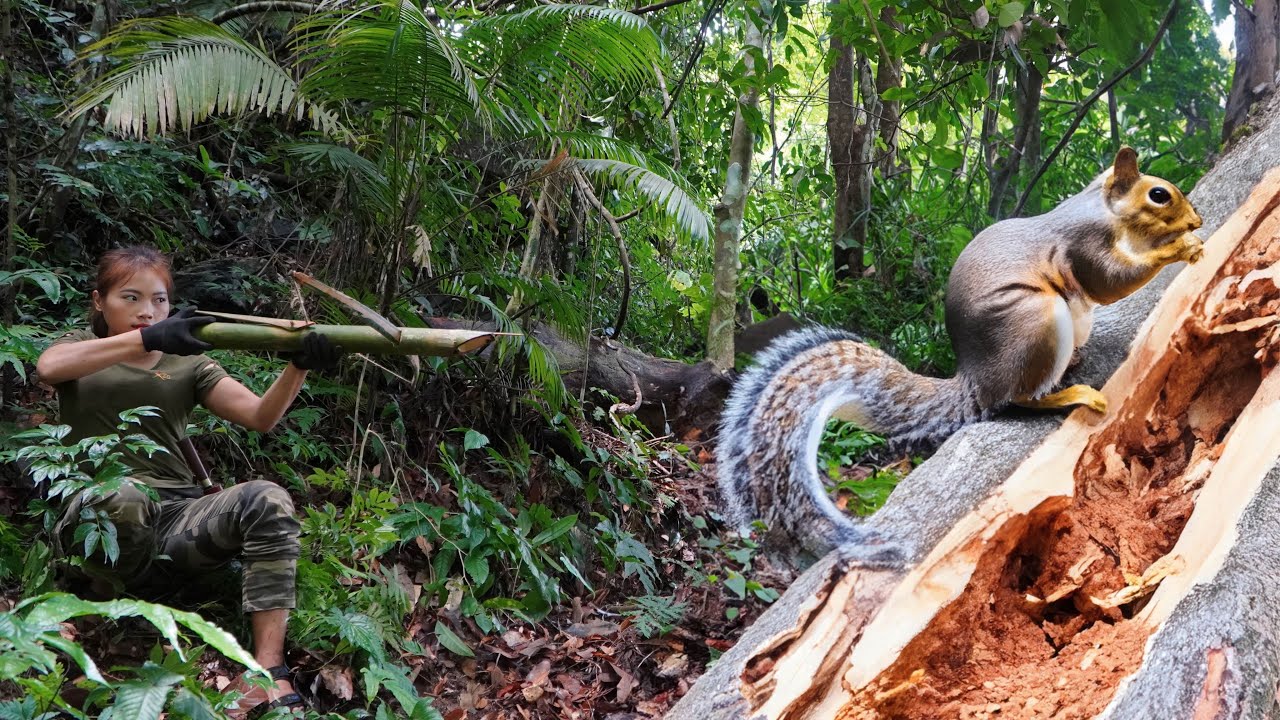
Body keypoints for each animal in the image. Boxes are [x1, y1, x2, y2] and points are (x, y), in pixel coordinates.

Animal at [717, 147, 1205, 562]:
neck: (1100, 207)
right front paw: (1177, 249)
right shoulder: (1083, 245)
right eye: (1158, 195)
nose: (1197, 221)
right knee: (1016, 399)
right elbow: (1109, 281)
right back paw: (1067, 394)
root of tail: (976, 380)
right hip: (1036, 323)